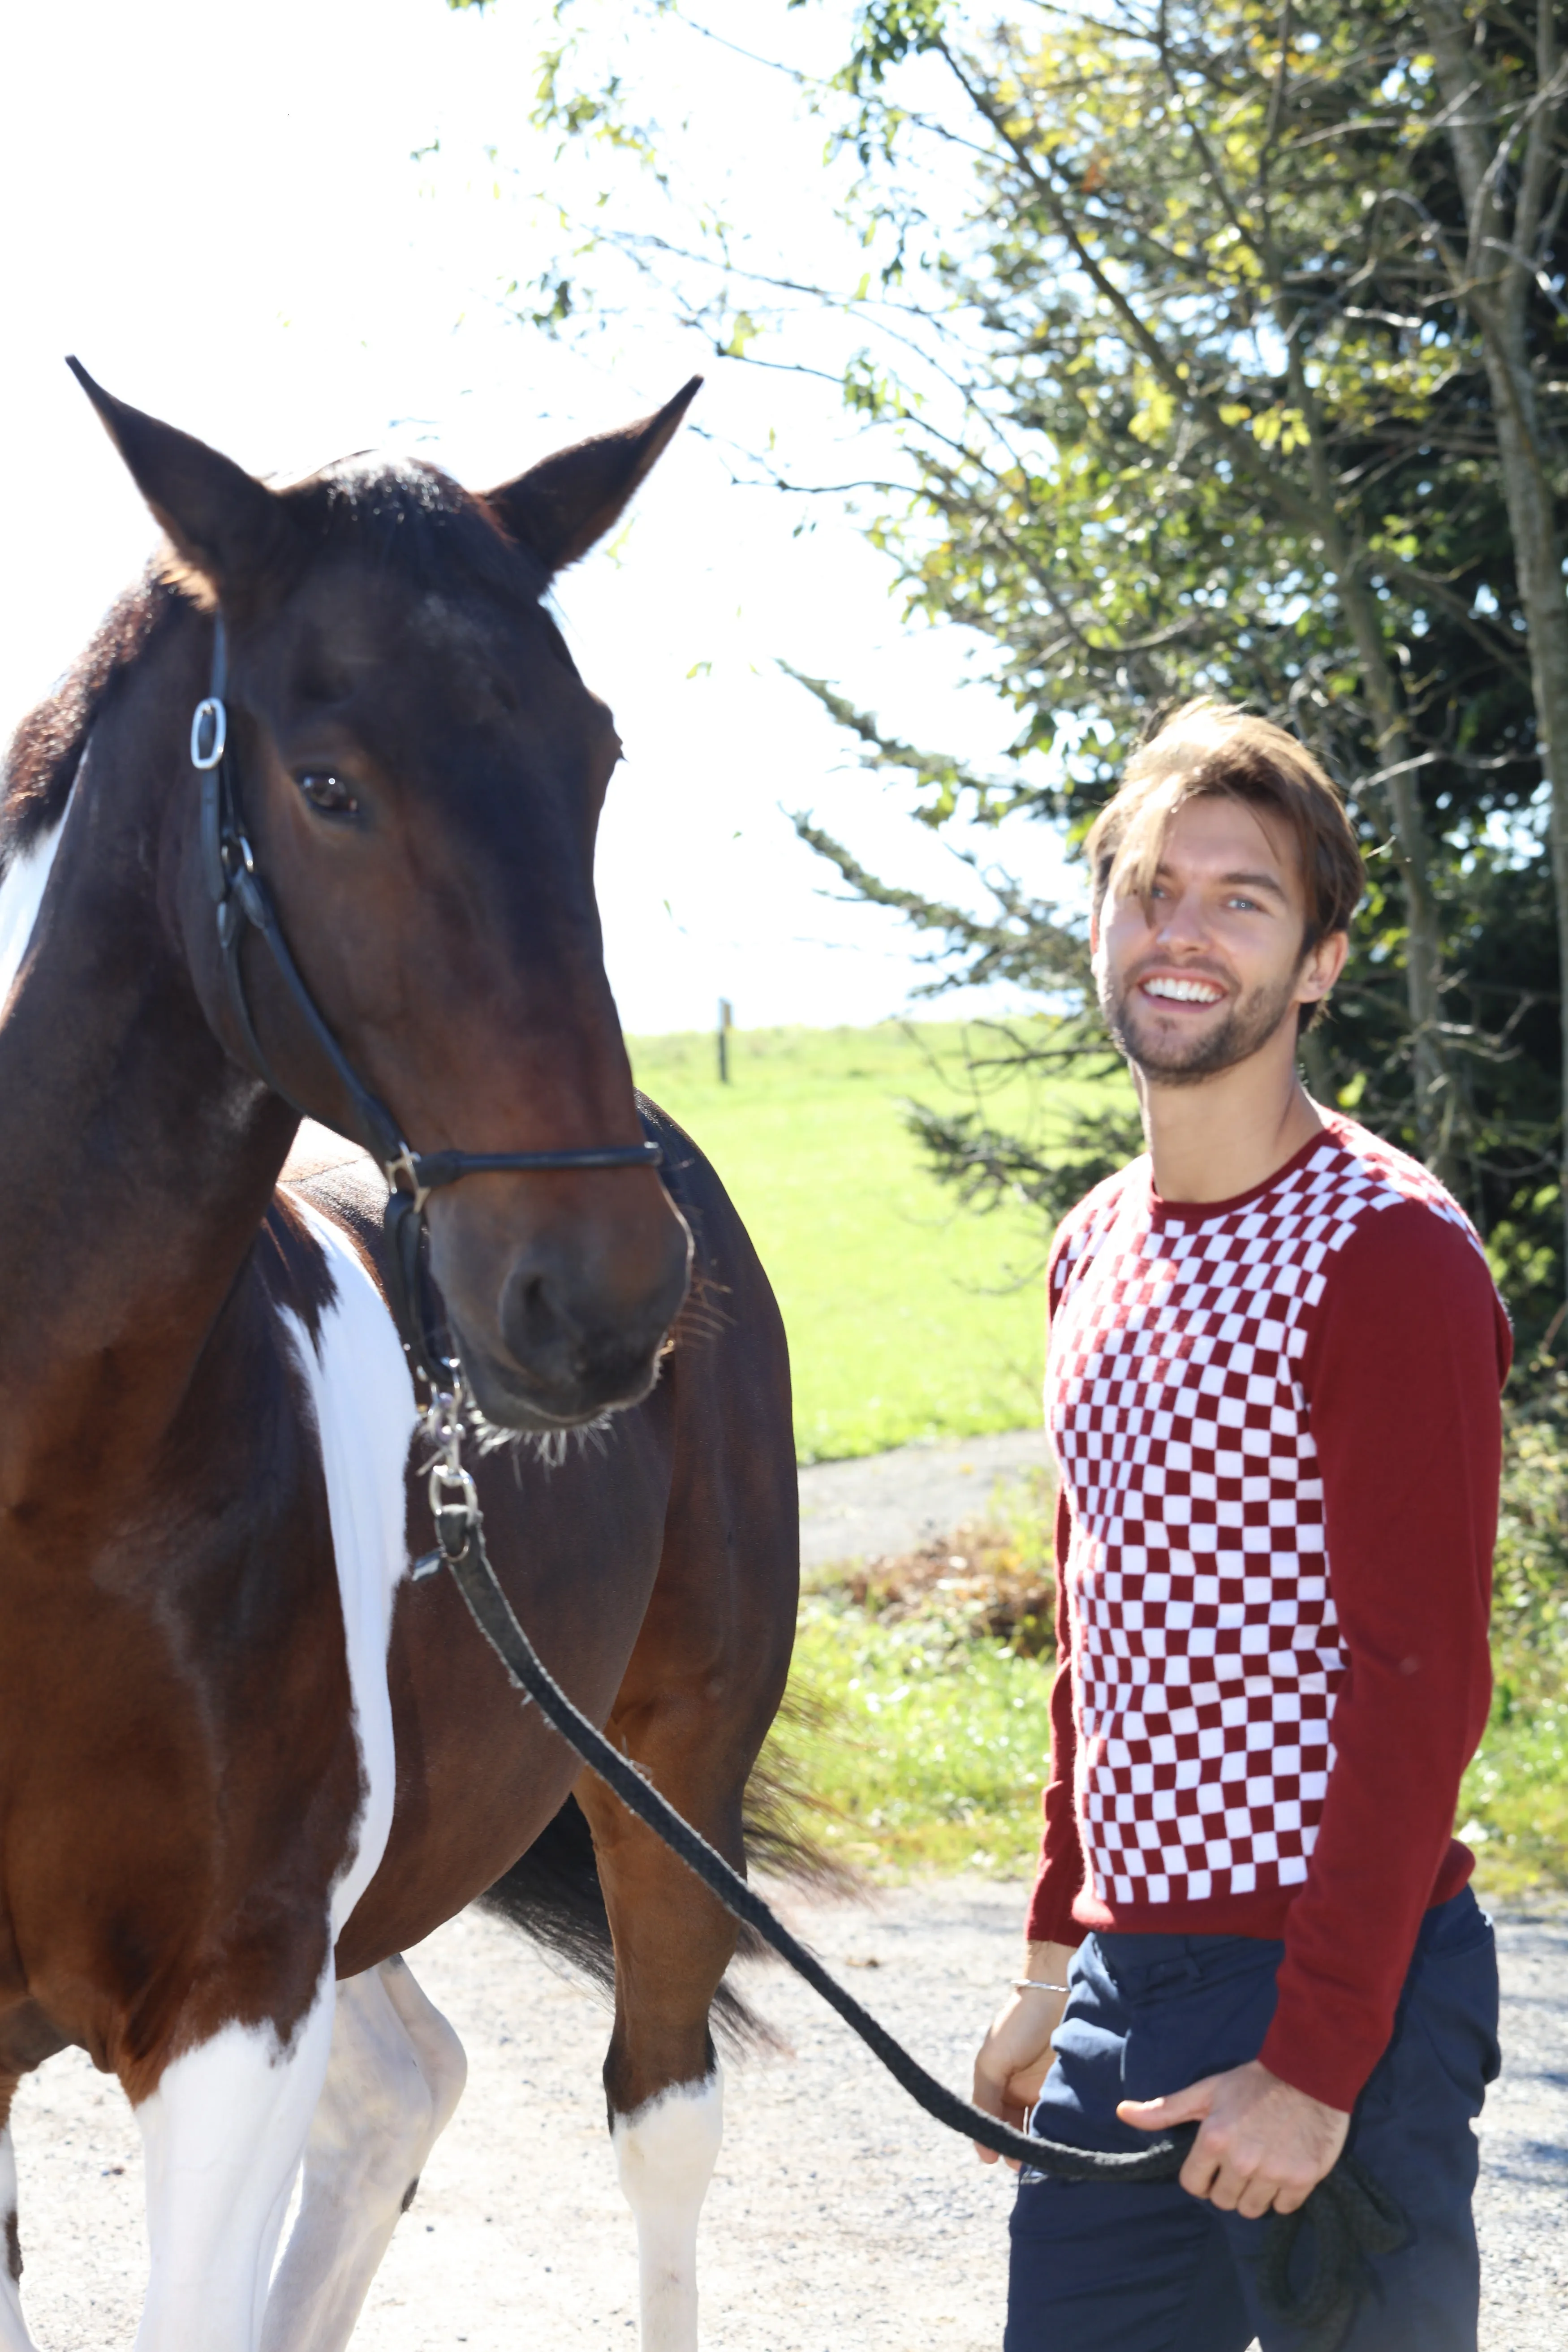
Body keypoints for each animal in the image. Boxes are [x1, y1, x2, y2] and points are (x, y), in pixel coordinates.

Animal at [0, 371, 804, 2352]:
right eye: (329, 786)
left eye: (596, 757)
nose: (600, 1296)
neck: (49, 1488)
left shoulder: (234, 2009)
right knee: (406, 2088)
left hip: (667, 1784)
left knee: (657, 2125)